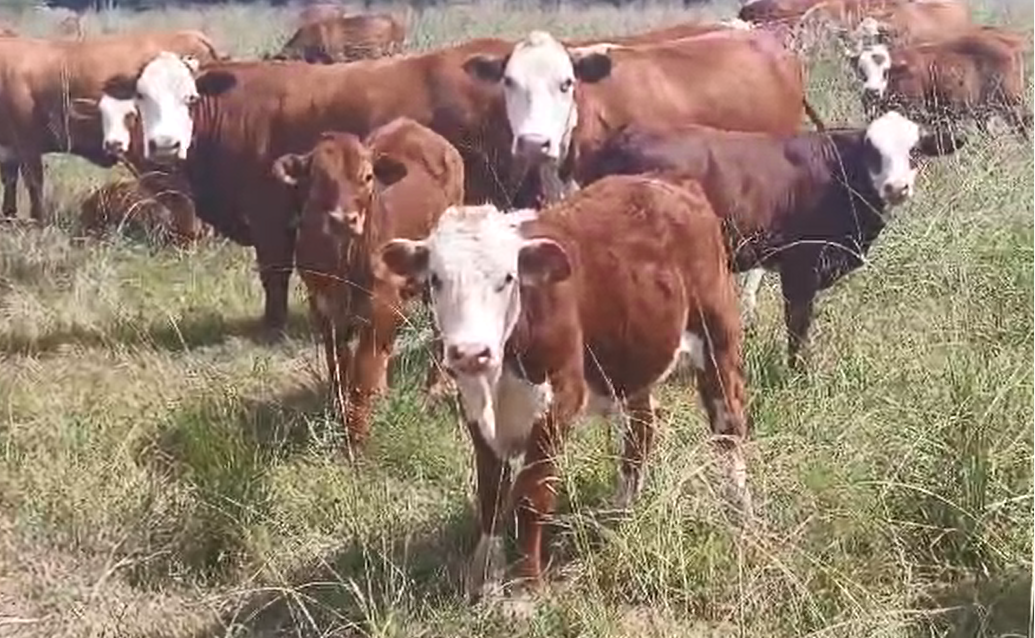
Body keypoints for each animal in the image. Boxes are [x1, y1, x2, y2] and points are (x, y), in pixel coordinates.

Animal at [272, 119, 463, 446]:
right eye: (317, 178)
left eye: (367, 176)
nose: (343, 219)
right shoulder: (323, 309)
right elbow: (339, 368)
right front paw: (343, 416)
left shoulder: (381, 305)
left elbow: (362, 374)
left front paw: (357, 437)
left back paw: (433, 390)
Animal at [377, 174, 751, 599]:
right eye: (435, 280)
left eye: (507, 278)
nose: (471, 352)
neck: (499, 379)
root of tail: (669, 182)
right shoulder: (474, 407)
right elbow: (491, 493)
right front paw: (485, 577)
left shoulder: (560, 401)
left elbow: (531, 496)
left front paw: (526, 588)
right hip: (633, 360)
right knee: (642, 430)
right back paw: (621, 509)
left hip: (718, 339)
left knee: (728, 428)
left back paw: (740, 511)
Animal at [578, 111, 963, 368]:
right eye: (872, 152)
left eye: (914, 151)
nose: (897, 187)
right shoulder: (801, 266)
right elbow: (798, 325)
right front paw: (799, 374)